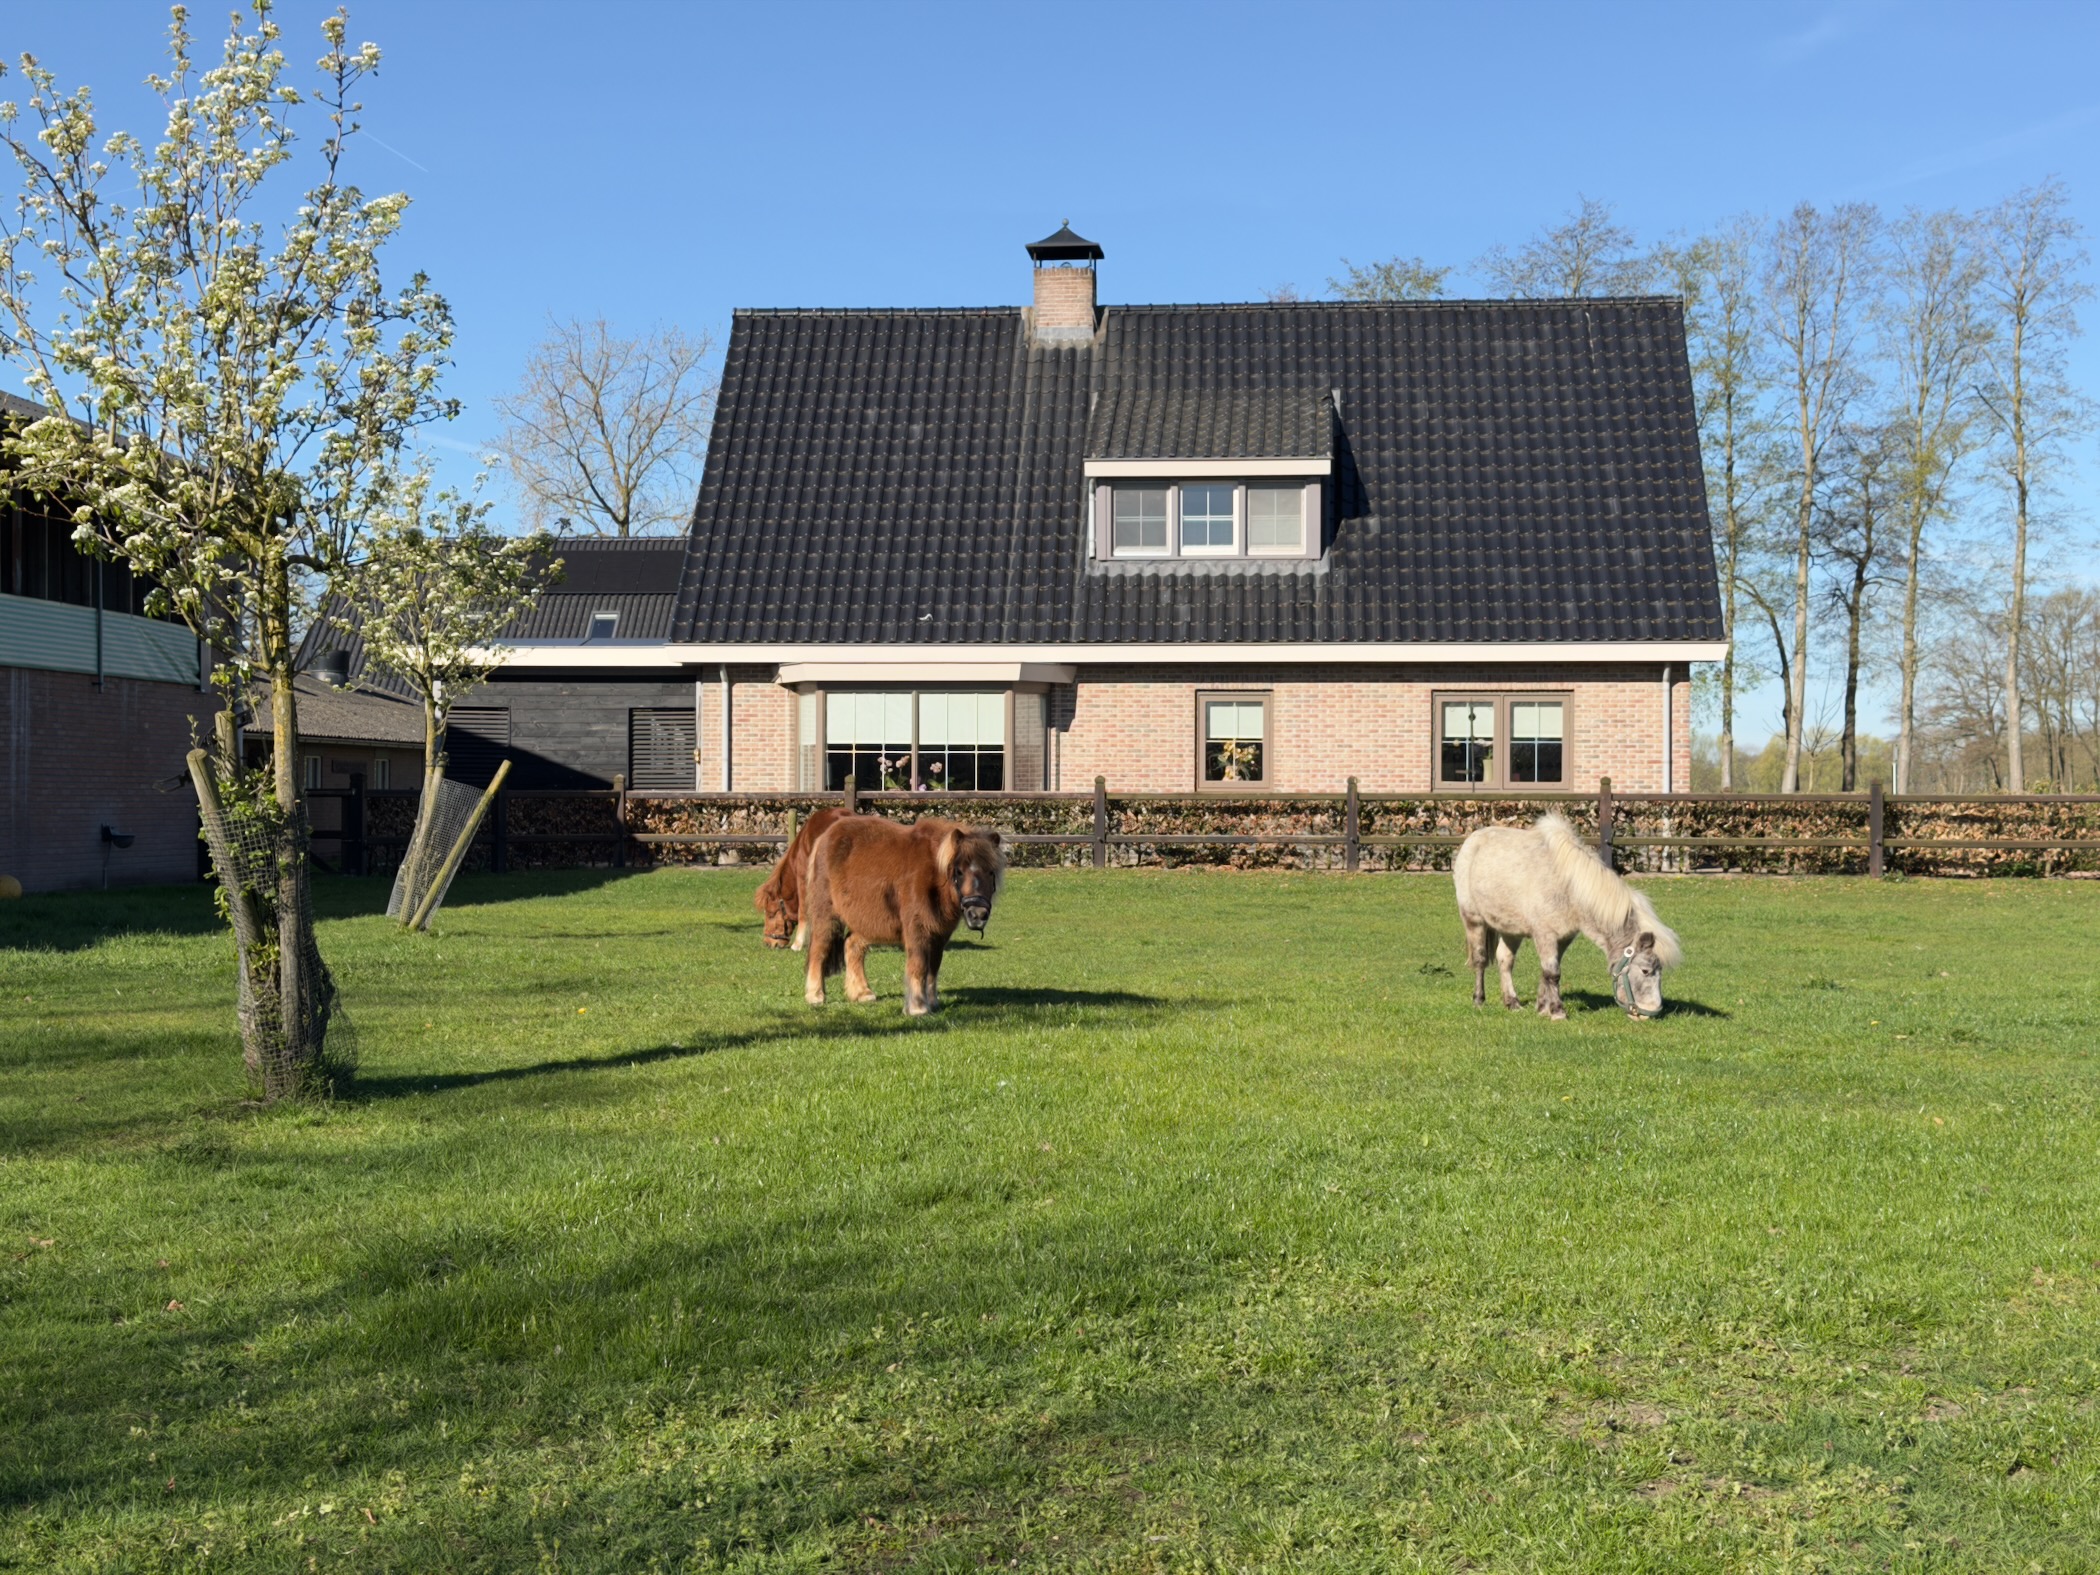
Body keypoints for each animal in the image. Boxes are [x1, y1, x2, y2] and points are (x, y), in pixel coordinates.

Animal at [802, 816, 1005, 1016]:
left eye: (990, 872)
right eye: (959, 871)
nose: (977, 914)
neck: (934, 875)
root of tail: (825, 836)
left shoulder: (939, 935)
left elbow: (933, 968)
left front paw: (932, 1003)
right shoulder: (918, 929)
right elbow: (919, 966)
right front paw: (917, 1007)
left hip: (867, 921)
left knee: (853, 946)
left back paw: (862, 993)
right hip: (826, 914)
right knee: (819, 948)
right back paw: (815, 995)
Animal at [1453, 812, 1683, 1020]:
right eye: (1645, 971)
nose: (1648, 1013)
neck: (1569, 888)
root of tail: (1473, 839)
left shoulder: (1563, 938)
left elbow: (1548, 971)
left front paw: (1542, 1007)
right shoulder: (1544, 935)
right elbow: (1552, 973)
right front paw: (1557, 1011)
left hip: (1511, 930)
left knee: (1505, 960)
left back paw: (1512, 1003)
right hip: (1473, 920)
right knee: (1480, 959)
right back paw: (1479, 1000)